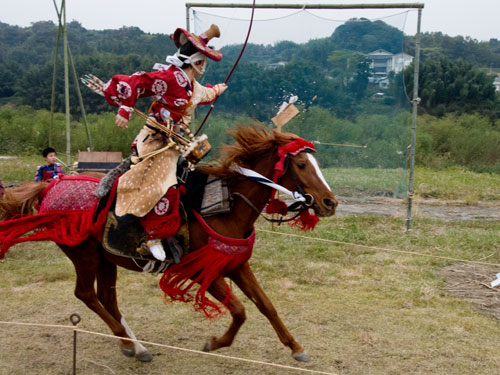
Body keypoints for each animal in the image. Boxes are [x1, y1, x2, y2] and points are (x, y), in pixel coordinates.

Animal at [0, 126, 338, 364]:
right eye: (301, 165)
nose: (329, 202)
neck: (225, 207)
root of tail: (51, 186)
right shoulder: (203, 271)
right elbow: (240, 310)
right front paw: (215, 342)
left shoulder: (236, 265)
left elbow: (266, 306)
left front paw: (296, 347)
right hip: (83, 254)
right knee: (85, 294)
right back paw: (127, 343)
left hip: (106, 258)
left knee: (107, 298)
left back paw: (137, 346)